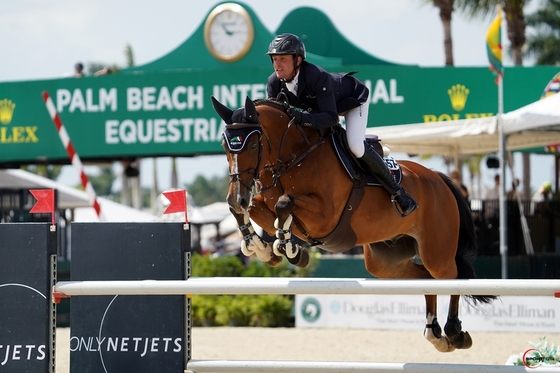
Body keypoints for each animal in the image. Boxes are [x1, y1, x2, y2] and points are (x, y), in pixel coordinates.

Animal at [212, 96, 496, 352]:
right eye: (225, 145)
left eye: (252, 145)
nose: (237, 196)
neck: (294, 156)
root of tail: (439, 178)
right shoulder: (268, 203)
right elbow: (259, 210)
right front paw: (264, 249)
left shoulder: (325, 217)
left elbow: (285, 204)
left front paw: (289, 249)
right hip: (385, 261)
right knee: (426, 279)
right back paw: (435, 334)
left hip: (436, 252)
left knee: (452, 277)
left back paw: (454, 333)